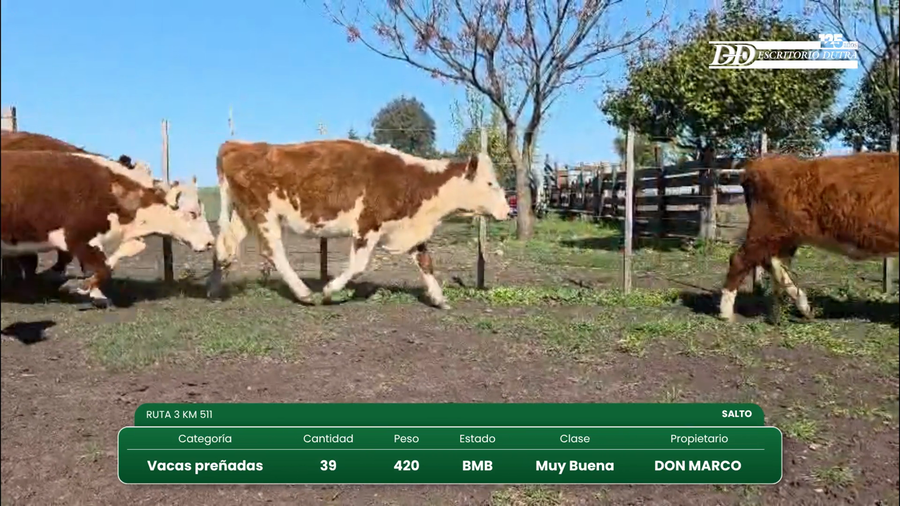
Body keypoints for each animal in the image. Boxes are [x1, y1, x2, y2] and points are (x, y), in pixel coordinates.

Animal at [1, 150, 215, 307]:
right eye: (193, 212)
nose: (210, 242)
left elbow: (115, 260)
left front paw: (92, 291)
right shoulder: (78, 239)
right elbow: (103, 268)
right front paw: (80, 286)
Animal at [206, 139, 512, 308]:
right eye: (489, 183)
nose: (508, 211)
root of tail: (238, 145)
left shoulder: (408, 229)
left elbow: (426, 262)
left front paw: (438, 298)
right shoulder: (368, 224)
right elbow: (358, 265)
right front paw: (329, 291)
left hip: (244, 213)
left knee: (226, 246)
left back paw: (213, 288)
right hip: (265, 213)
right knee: (273, 251)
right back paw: (304, 293)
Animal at [719, 151, 899, 322]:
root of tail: (761, 163)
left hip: (784, 237)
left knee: (775, 263)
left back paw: (797, 308)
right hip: (765, 231)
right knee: (740, 259)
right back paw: (726, 314)